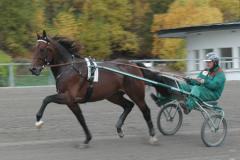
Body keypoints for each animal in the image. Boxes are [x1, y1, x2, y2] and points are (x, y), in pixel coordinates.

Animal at [29, 31, 158, 145]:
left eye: (42, 49)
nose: (33, 69)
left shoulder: (68, 97)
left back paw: (152, 136)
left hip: (136, 94)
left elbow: (47, 99)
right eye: (34, 49)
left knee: (145, 110)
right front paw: (87, 139)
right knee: (128, 105)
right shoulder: (71, 102)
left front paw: (38, 120)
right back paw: (119, 129)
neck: (69, 68)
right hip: (113, 95)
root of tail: (133, 64)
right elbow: (80, 118)